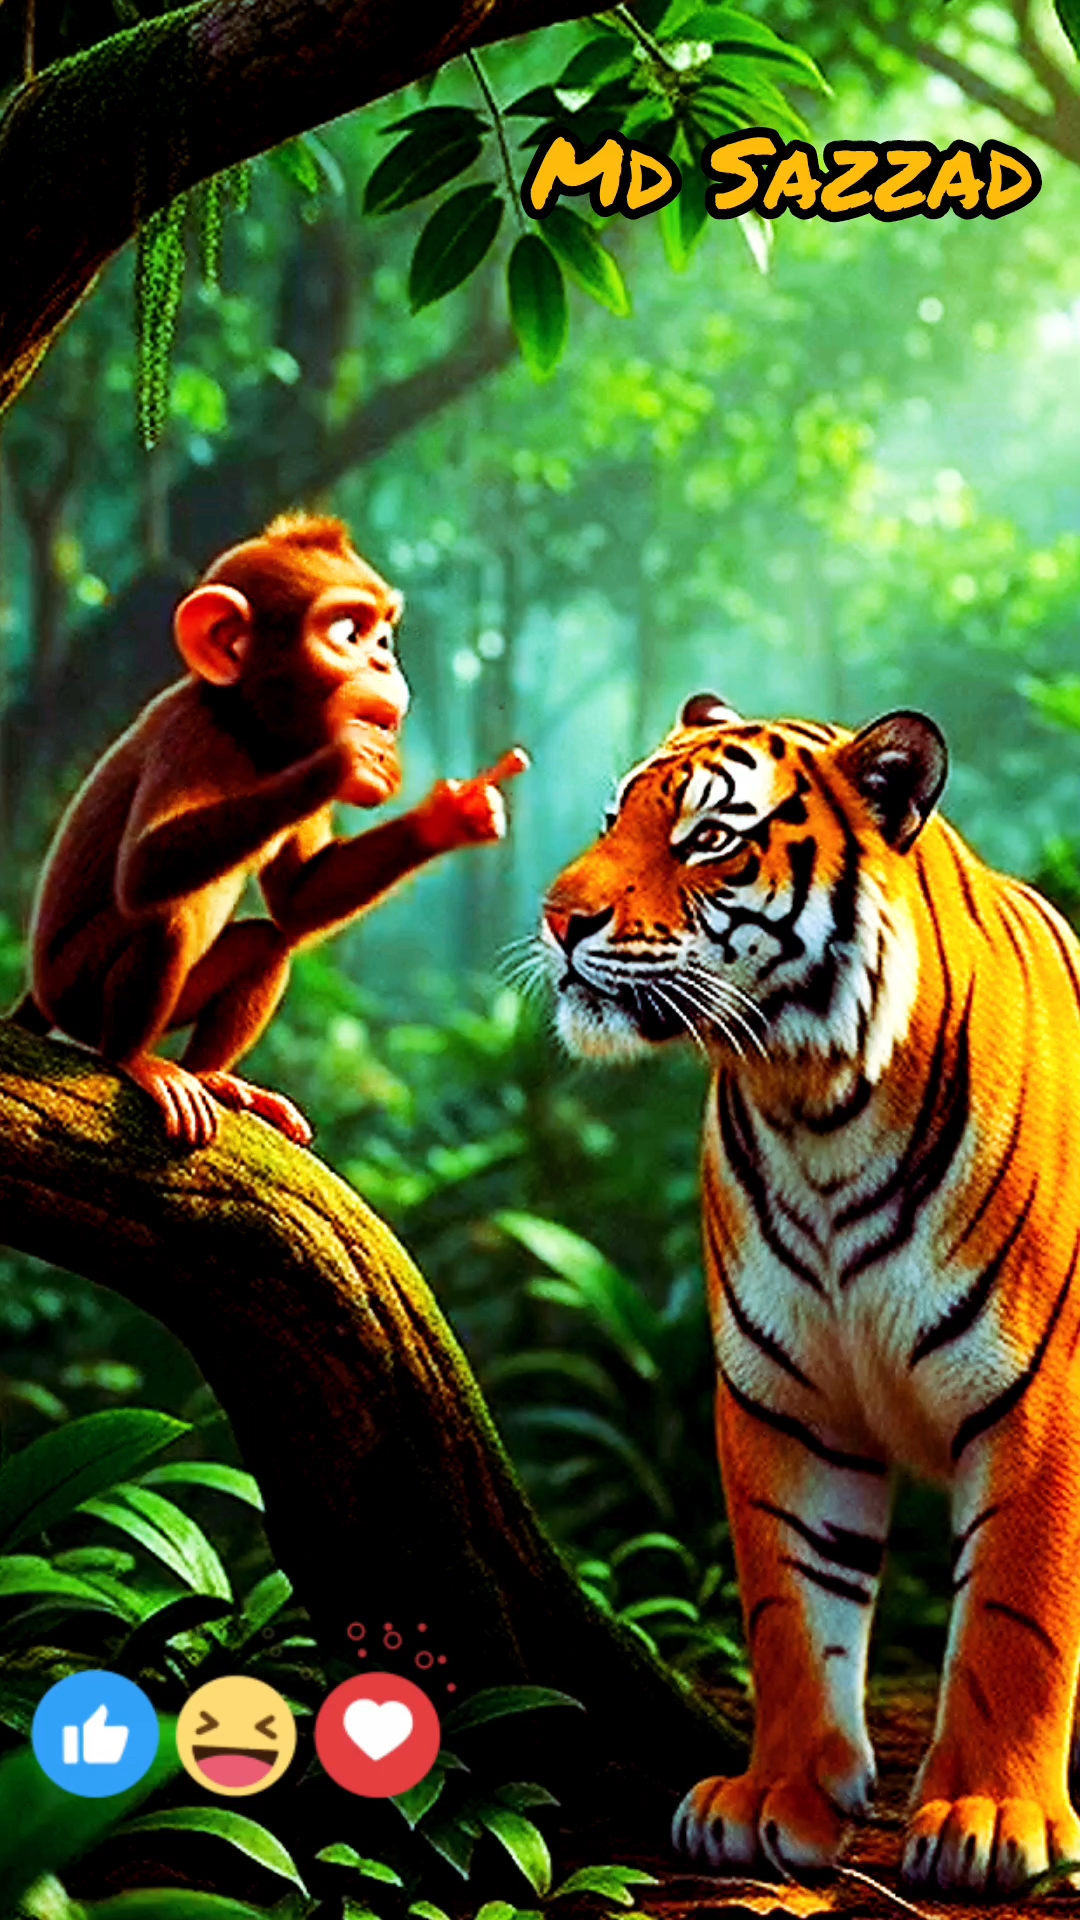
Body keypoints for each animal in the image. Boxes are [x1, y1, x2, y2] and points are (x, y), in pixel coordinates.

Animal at [10, 512, 528, 1150]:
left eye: (383, 638)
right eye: (350, 633)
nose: (384, 662)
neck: (251, 729)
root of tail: (40, 991)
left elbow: (297, 900)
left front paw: (453, 815)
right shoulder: (191, 734)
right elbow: (145, 870)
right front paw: (346, 759)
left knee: (265, 942)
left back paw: (211, 1073)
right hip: (76, 991)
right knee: (164, 918)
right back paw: (135, 1060)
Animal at [540, 692, 1080, 1898]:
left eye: (707, 838)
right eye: (609, 820)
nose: (556, 919)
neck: (818, 1107)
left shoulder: (1038, 1401)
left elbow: (1014, 1614)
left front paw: (992, 1817)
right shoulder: (785, 1398)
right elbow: (792, 1603)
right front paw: (774, 1801)